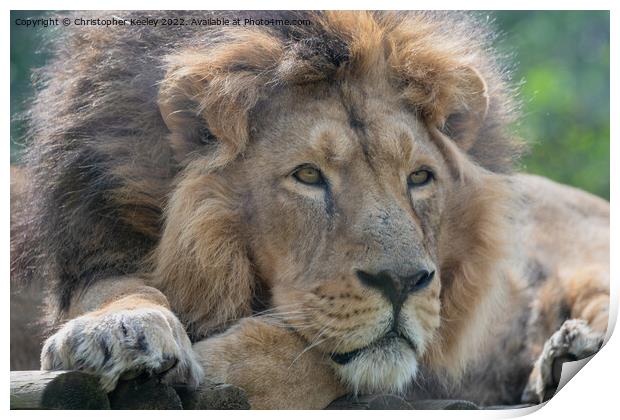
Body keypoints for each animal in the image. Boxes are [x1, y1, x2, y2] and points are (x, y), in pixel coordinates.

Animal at [10, 11, 612, 408]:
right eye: (307, 175)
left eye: (419, 177)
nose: (403, 283)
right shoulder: (91, 246)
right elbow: (112, 291)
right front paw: (121, 331)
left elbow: (296, 354)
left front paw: (211, 367)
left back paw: (569, 350)